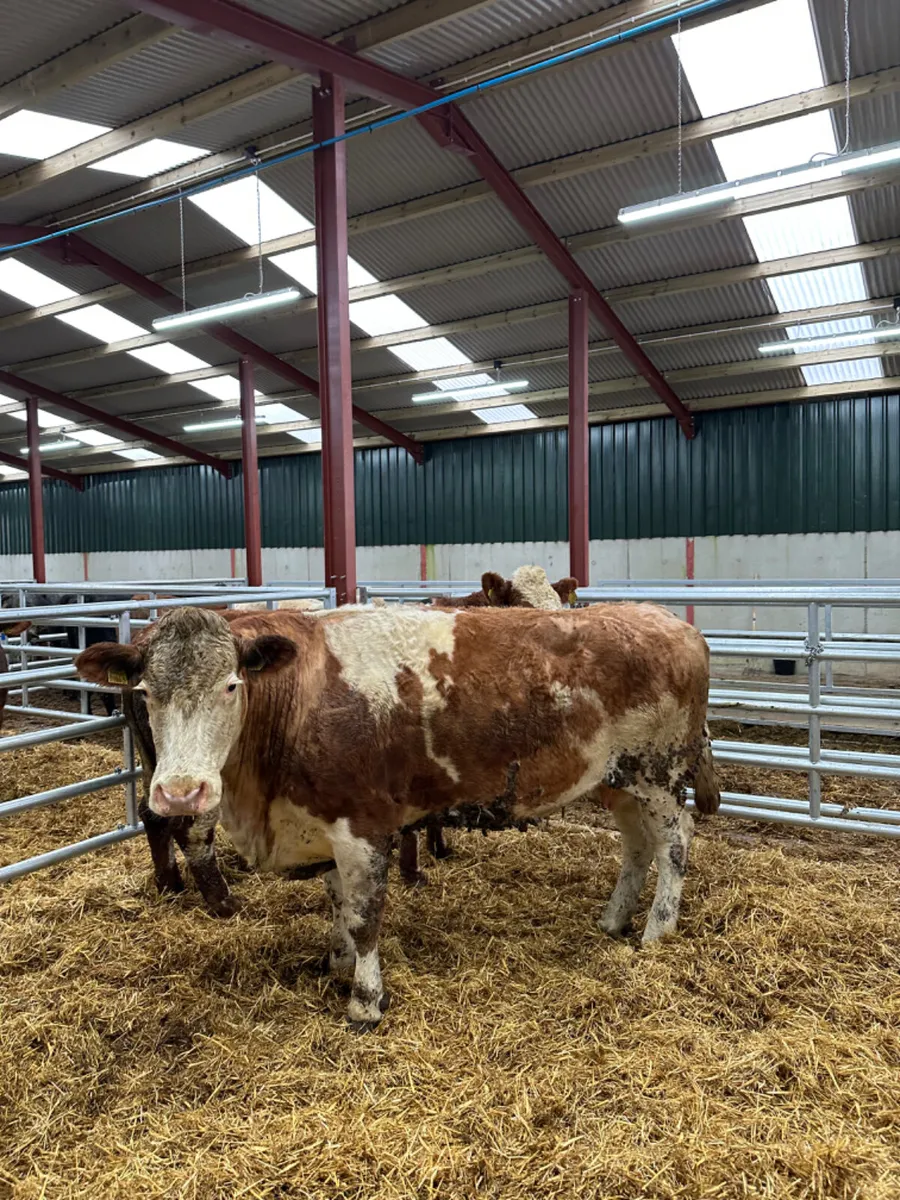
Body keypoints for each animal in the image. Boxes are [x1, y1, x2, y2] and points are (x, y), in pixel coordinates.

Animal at [77, 601, 719, 1030]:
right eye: (145, 693)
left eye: (231, 685)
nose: (181, 793)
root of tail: (671, 621)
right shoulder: (324, 822)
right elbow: (338, 903)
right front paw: (336, 964)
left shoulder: (363, 827)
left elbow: (365, 917)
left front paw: (365, 1003)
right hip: (615, 779)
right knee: (636, 845)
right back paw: (613, 921)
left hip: (658, 772)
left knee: (675, 842)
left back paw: (658, 930)